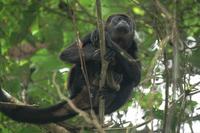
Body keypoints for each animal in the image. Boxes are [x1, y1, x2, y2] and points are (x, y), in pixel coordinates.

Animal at [0, 13, 141, 123]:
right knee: (78, 65)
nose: (124, 22)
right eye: (118, 19)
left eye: (128, 21)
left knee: (130, 83)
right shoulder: (91, 33)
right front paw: (96, 50)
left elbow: (137, 74)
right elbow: (67, 53)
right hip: (76, 86)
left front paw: (110, 44)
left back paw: (110, 91)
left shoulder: (134, 45)